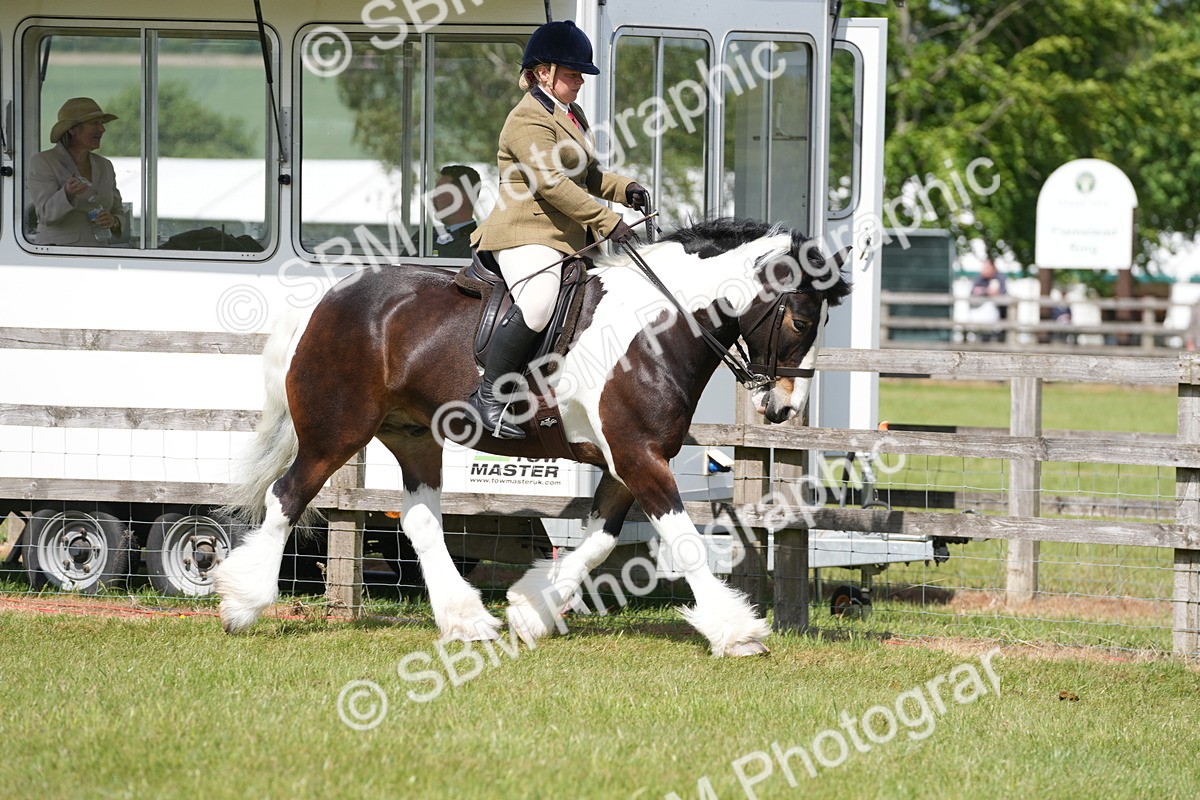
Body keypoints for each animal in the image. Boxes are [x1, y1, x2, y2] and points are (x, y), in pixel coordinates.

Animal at [213, 217, 851, 656]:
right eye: (800, 319)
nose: (783, 408)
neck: (656, 329)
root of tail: (327, 299)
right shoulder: (639, 457)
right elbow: (684, 542)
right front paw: (737, 632)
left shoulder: (626, 462)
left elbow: (598, 541)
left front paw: (529, 609)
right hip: (335, 432)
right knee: (286, 497)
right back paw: (242, 602)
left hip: (414, 435)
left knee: (420, 520)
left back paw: (468, 619)